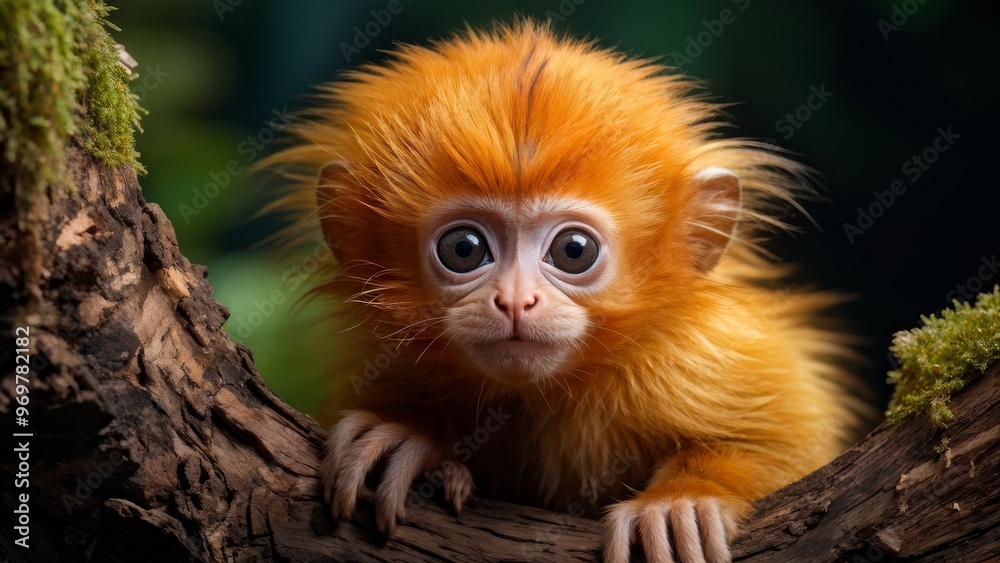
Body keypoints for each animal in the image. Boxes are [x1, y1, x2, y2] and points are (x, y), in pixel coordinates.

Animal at [266, 20, 864, 563]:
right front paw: (409, 431)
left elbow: (791, 444)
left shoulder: (697, 356)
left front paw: (682, 500)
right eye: (464, 249)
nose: (515, 301)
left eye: (574, 251)